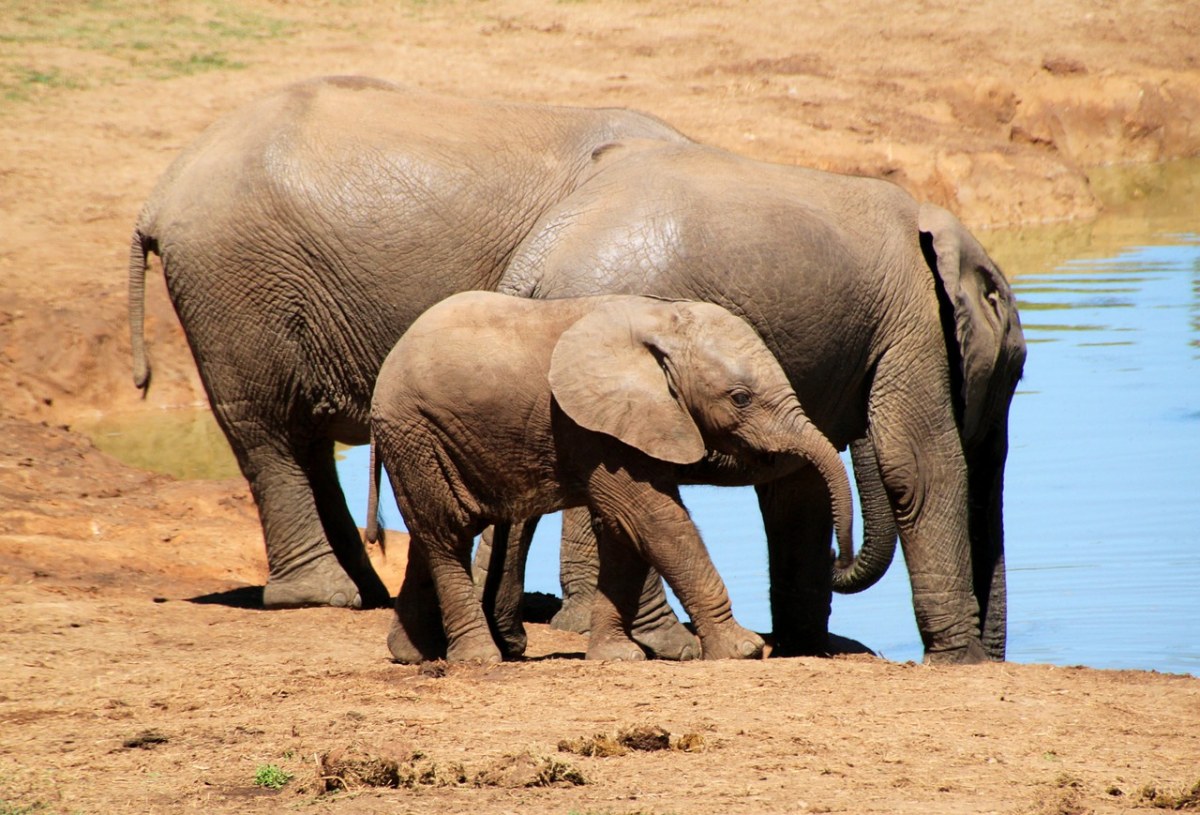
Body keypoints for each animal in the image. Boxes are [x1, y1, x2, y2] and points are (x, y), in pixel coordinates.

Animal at [369, 292, 859, 662]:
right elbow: (653, 518)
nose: (839, 560)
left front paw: (617, 657)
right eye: (740, 398)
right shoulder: (591, 426)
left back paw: (413, 654)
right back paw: (478, 658)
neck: (661, 323)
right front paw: (744, 651)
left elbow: (626, 532)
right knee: (447, 535)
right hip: (414, 430)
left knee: (430, 533)